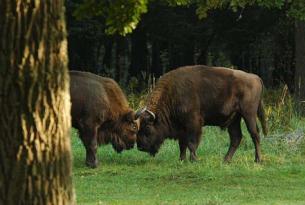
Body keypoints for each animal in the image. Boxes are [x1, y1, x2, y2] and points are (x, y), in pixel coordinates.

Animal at [135, 65, 266, 163]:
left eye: (147, 127)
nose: (140, 147)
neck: (172, 96)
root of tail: (255, 77)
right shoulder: (182, 128)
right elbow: (182, 144)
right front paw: (181, 160)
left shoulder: (193, 123)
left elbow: (191, 143)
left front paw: (193, 160)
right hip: (234, 119)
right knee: (236, 137)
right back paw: (226, 160)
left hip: (249, 114)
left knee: (255, 134)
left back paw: (257, 160)